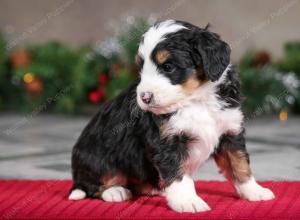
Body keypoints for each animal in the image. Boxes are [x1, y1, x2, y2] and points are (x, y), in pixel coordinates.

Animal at [69, 19, 276, 212]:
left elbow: (240, 164)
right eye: (141, 68)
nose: (144, 97)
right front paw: (187, 201)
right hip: (97, 156)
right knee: (94, 184)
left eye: (168, 67)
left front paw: (254, 191)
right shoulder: (167, 142)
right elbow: (178, 174)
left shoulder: (230, 132)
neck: (197, 100)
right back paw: (115, 191)